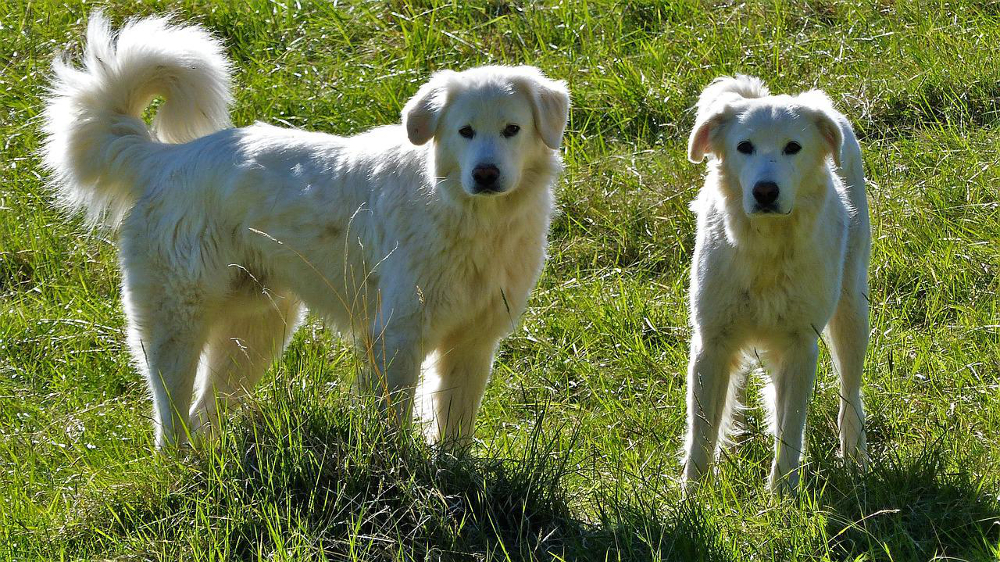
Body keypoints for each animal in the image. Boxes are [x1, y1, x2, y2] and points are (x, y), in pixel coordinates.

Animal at [43, 12, 572, 450]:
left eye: (511, 129)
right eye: (465, 131)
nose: (485, 174)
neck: (472, 218)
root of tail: (164, 158)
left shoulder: (474, 339)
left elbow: (455, 423)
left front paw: (453, 473)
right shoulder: (397, 335)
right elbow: (394, 421)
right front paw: (401, 475)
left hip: (256, 329)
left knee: (202, 413)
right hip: (177, 321)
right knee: (172, 417)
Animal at [684, 74, 872, 490]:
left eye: (792, 148)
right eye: (744, 147)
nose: (765, 192)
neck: (767, 248)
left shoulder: (801, 346)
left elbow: (791, 429)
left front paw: (782, 493)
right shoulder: (712, 343)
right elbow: (701, 433)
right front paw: (691, 498)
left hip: (853, 313)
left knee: (850, 394)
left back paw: (855, 457)